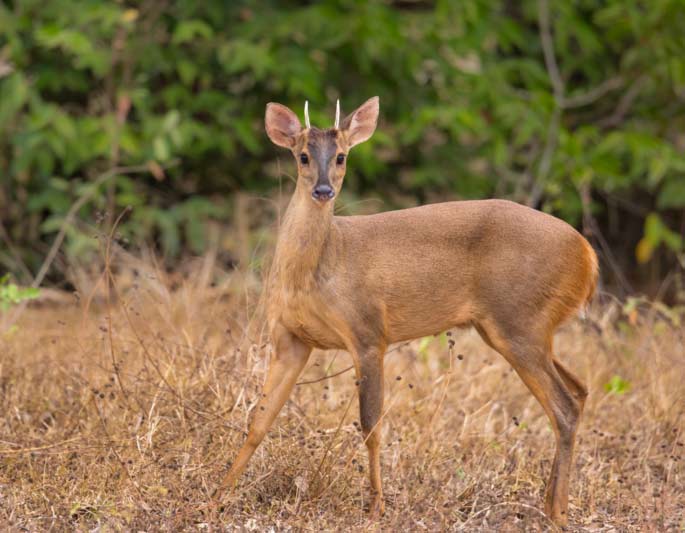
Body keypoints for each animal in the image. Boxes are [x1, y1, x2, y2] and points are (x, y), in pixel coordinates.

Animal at [216, 95, 596, 524]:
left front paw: (375, 507)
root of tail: (588, 256)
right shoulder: (291, 338)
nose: (324, 190)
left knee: (564, 407)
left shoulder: (367, 332)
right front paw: (218, 496)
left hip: (519, 322)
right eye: (302, 156)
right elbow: (259, 420)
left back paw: (558, 512)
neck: (320, 266)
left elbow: (371, 425)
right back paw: (550, 502)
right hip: (520, 328)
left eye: (342, 156)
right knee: (580, 390)